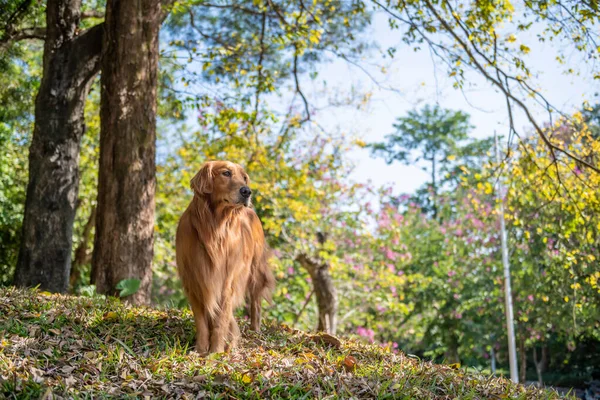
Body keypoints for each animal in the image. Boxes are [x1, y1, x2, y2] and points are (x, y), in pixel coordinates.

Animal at [175, 159, 276, 354]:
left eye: (244, 178)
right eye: (226, 173)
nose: (247, 191)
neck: (215, 227)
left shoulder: (226, 281)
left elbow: (221, 320)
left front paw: (216, 351)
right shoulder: (194, 280)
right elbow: (201, 321)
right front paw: (200, 350)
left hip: (255, 271)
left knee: (256, 301)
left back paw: (254, 329)